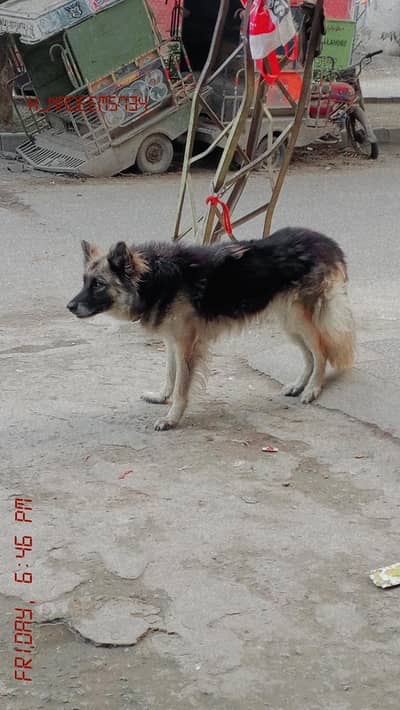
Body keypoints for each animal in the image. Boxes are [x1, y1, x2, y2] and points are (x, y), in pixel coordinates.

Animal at [67, 228, 355, 430]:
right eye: (84, 281)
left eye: (98, 284)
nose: (69, 307)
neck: (155, 278)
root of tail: (326, 242)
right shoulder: (172, 341)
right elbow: (170, 374)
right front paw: (161, 396)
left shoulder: (186, 345)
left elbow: (182, 385)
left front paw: (172, 418)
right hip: (289, 321)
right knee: (309, 355)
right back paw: (299, 385)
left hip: (299, 319)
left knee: (321, 352)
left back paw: (313, 389)